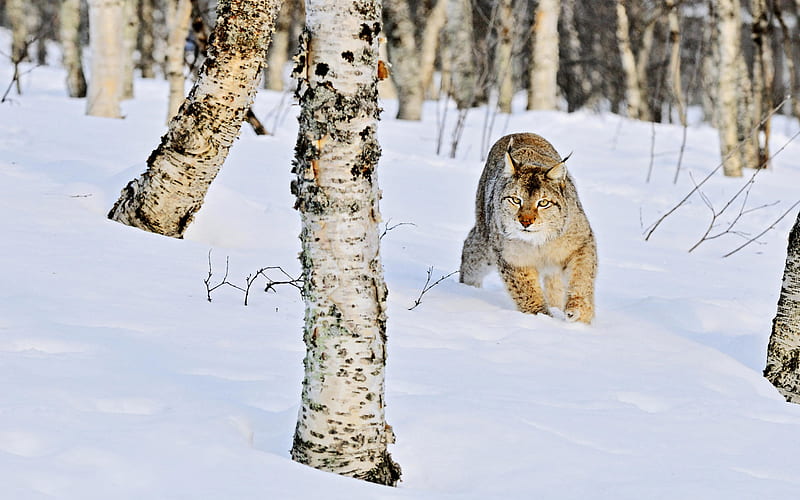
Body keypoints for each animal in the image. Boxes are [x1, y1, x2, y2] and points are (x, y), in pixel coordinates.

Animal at [460, 132, 596, 324]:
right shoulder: (511, 258)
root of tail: (519, 132)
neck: (539, 242)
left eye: (543, 203)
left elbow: (582, 276)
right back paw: (467, 288)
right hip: (485, 241)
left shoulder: (581, 241)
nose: (525, 222)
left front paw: (579, 313)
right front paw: (541, 318)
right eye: (516, 200)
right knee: (470, 249)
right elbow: (526, 291)